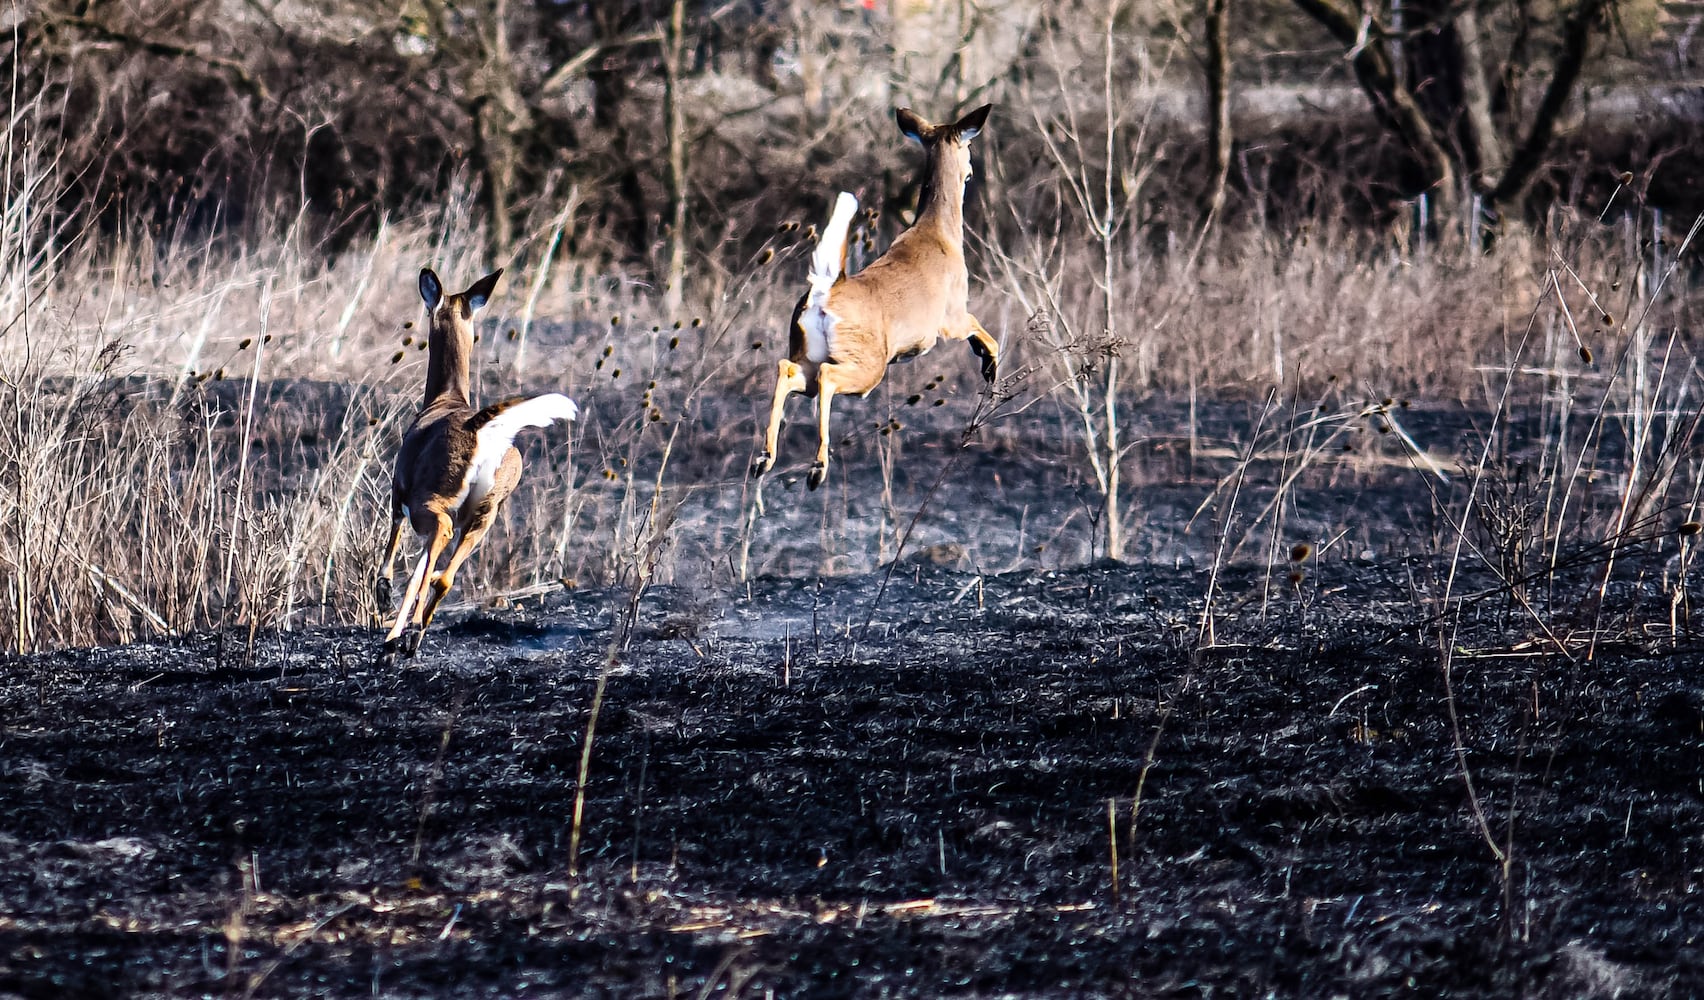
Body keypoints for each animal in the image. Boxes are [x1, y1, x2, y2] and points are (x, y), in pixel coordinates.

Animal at [378, 265, 579, 657]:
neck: (445, 399)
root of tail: (481, 428)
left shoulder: (398, 495)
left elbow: (394, 555)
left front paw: (385, 609)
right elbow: (418, 572)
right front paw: (394, 635)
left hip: (433, 503)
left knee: (440, 541)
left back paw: (408, 634)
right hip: (487, 513)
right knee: (444, 577)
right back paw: (413, 636)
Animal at [749, 104, 995, 490]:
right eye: (967, 149)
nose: (971, 172)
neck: (941, 235)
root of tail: (827, 289)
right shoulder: (949, 318)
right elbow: (981, 329)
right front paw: (990, 367)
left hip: (808, 353)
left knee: (787, 369)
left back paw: (765, 459)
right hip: (869, 363)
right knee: (827, 378)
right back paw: (817, 469)